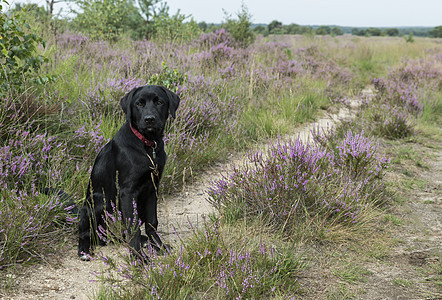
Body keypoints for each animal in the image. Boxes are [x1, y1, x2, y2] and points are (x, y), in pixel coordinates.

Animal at [77, 84, 180, 260]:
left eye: (160, 102)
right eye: (139, 103)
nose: (149, 119)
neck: (147, 144)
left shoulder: (152, 188)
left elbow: (152, 222)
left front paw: (158, 246)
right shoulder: (127, 191)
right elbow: (133, 227)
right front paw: (138, 257)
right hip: (99, 201)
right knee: (85, 233)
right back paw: (84, 250)